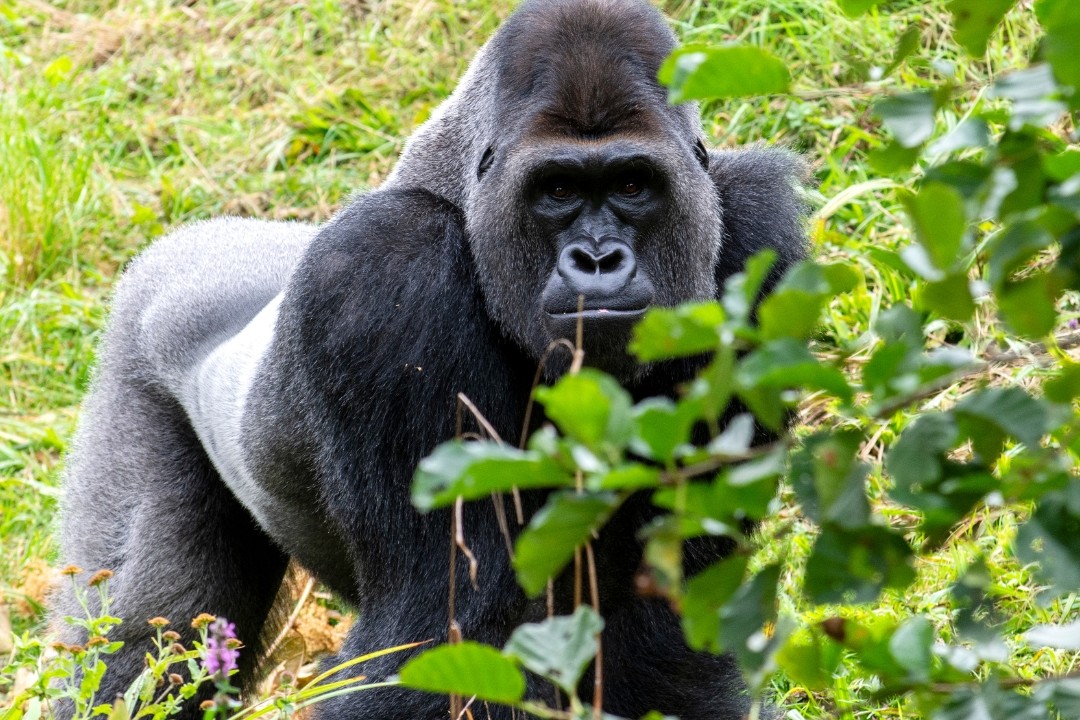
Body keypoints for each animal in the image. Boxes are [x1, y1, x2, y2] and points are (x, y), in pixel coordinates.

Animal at [54, 0, 806, 718]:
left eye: (631, 185)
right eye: (558, 191)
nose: (597, 260)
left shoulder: (757, 239)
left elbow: (664, 616)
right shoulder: (386, 269)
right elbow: (439, 630)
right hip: (135, 348)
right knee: (140, 643)